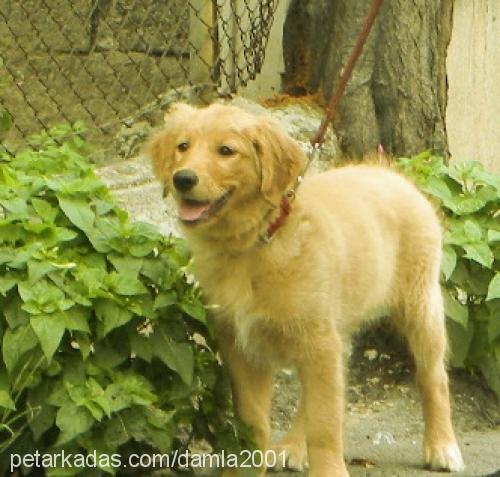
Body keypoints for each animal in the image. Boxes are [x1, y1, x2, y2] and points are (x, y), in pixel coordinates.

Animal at [147, 102, 464, 474]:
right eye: (182, 146)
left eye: (226, 151)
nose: (182, 179)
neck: (258, 240)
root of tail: (389, 173)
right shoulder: (242, 346)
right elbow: (255, 421)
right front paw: (247, 467)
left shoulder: (318, 342)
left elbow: (324, 424)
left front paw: (329, 470)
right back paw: (294, 446)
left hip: (419, 304)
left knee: (433, 377)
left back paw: (442, 445)